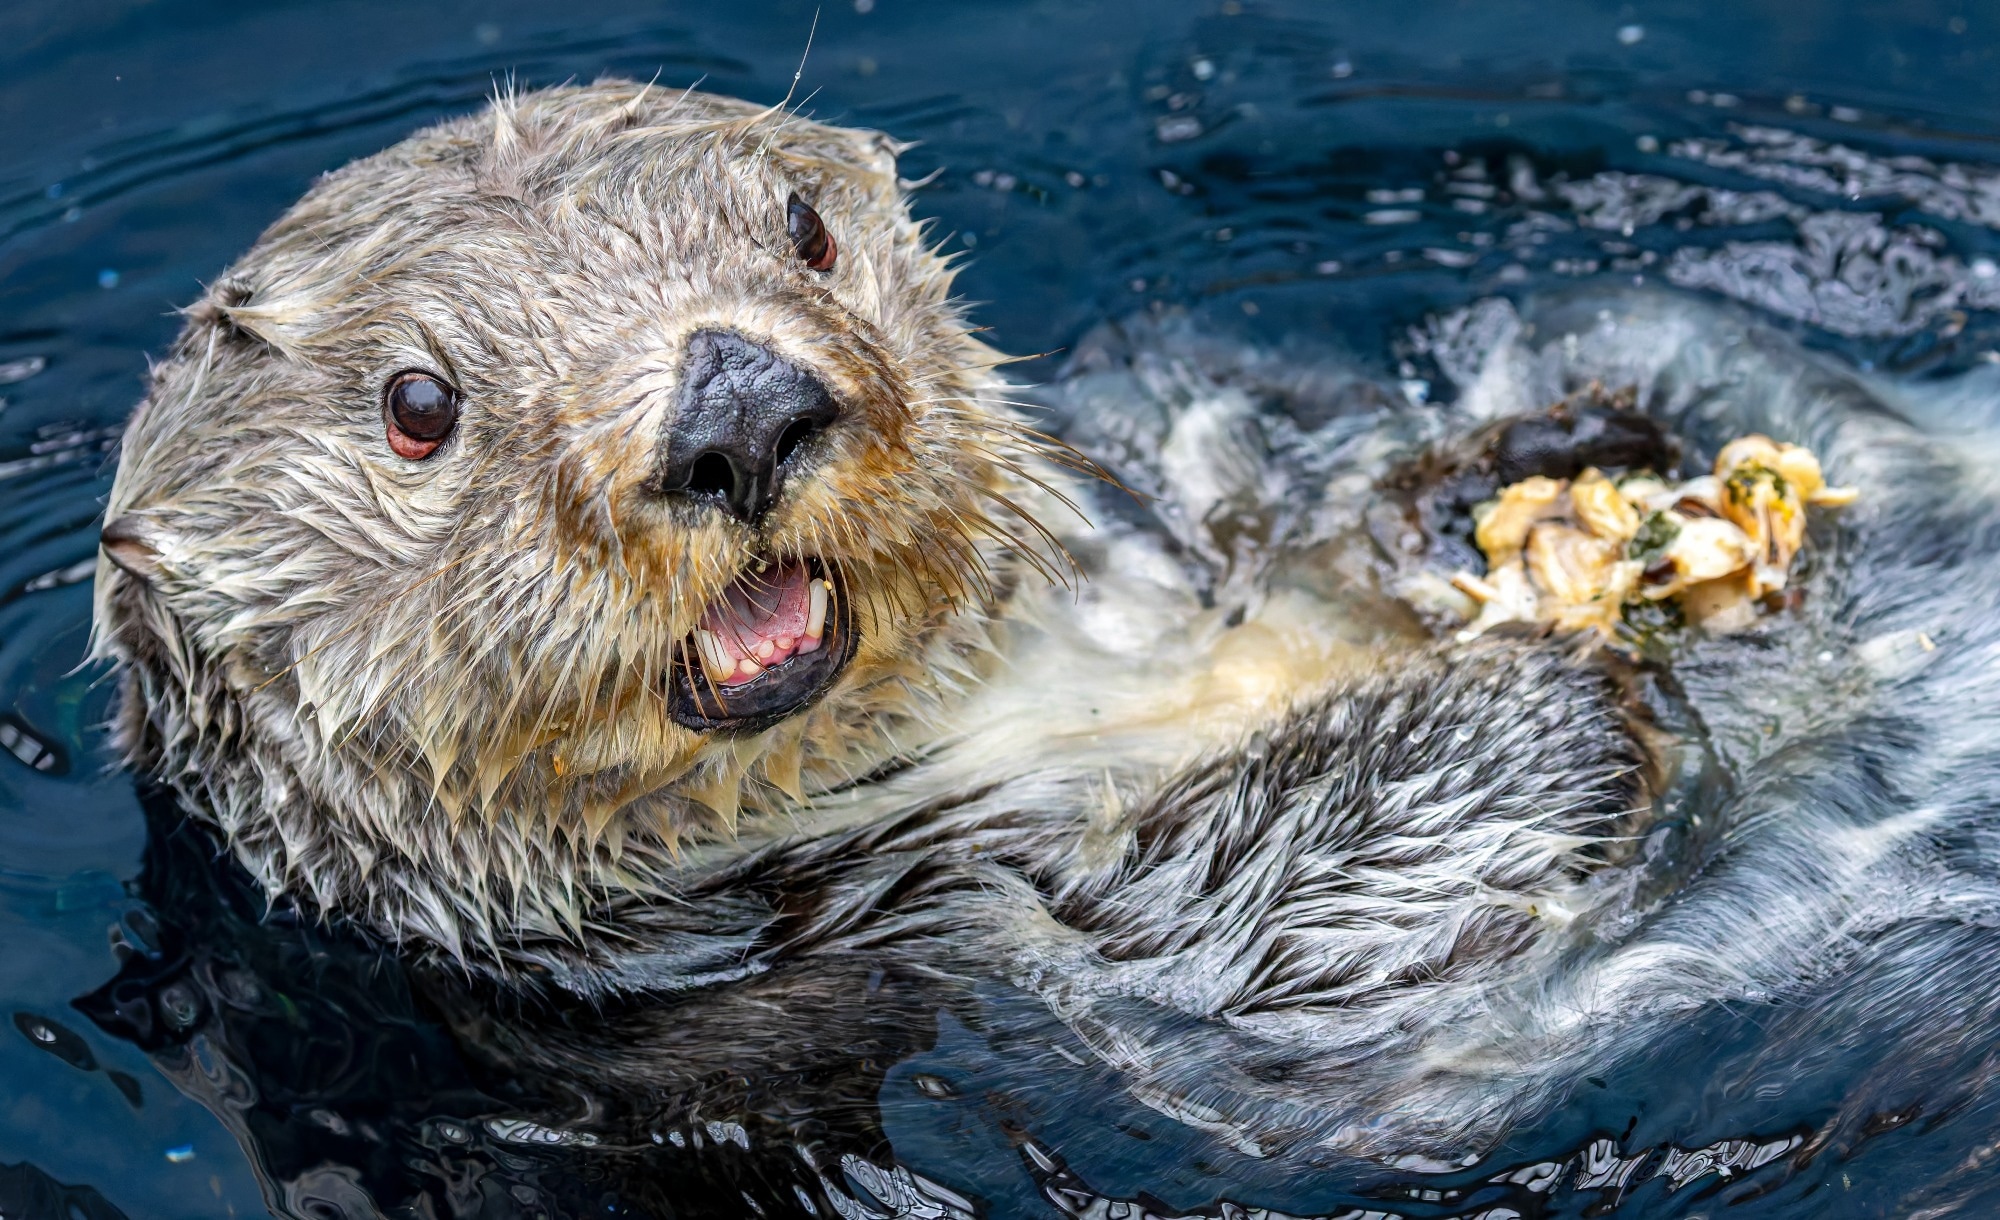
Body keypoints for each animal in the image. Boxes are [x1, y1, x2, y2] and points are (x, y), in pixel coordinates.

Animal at [88, 80, 2000, 1190]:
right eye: (418, 406)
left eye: (803, 230)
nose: (738, 409)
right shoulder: (900, 940)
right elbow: (1282, 960)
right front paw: (1537, 679)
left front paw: (1553, 469)